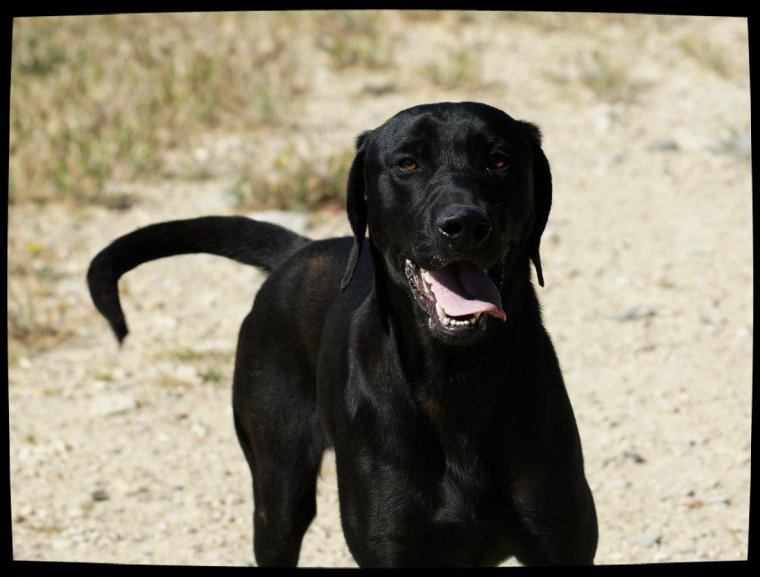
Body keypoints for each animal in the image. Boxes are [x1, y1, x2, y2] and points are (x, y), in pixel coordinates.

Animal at [89, 101, 596, 564]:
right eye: (407, 163)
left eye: (499, 160)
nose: (465, 224)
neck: (456, 384)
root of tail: (297, 252)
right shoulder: (391, 548)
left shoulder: (562, 543)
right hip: (278, 493)